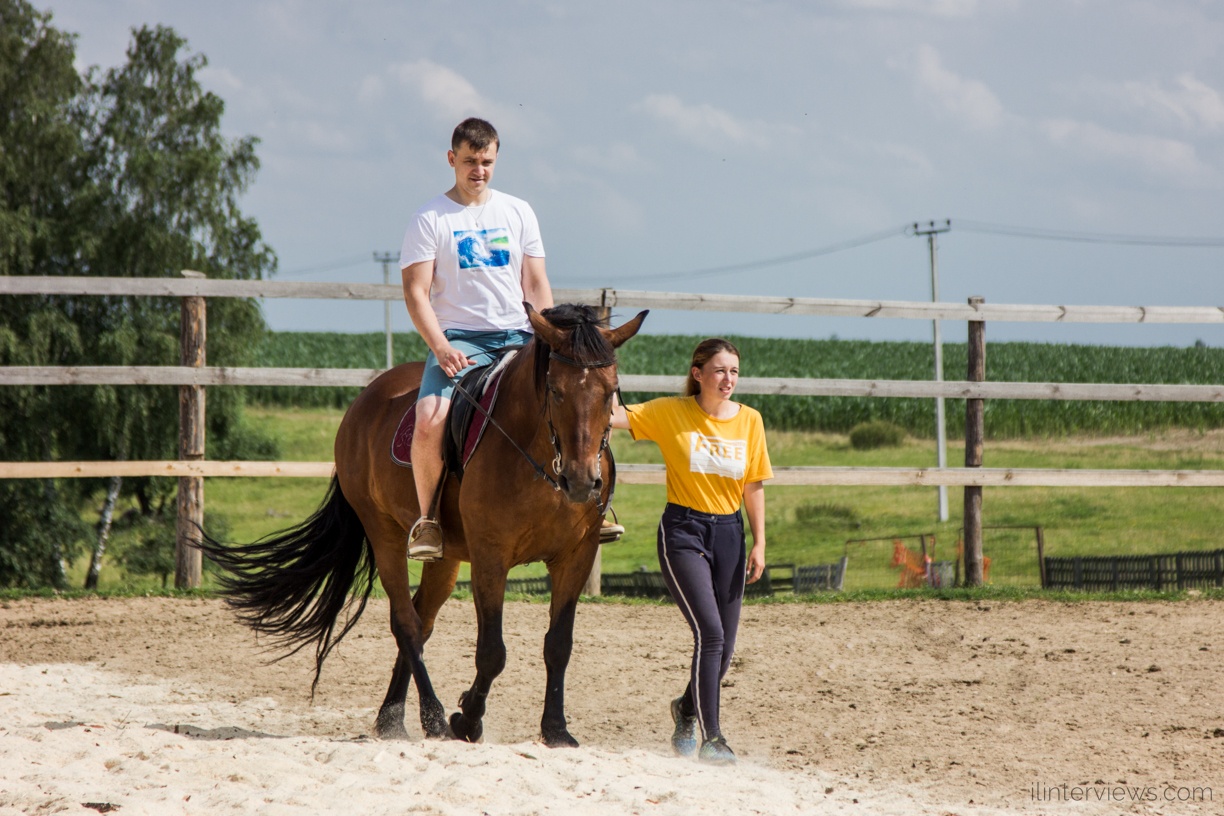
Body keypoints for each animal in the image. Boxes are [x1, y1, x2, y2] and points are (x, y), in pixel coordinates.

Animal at [198, 304, 651, 748]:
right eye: (555, 390)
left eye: (610, 391)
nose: (580, 481)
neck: (538, 457)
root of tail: (367, 396)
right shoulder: (490, 556)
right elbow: (492, 651)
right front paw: (467, 719)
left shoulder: (576, 556)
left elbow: (559, 645)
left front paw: (555, 730)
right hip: (384, 533)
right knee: (407, 623)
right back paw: (431, 717)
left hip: (446, 558)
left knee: (422, 618)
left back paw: (391, 717)